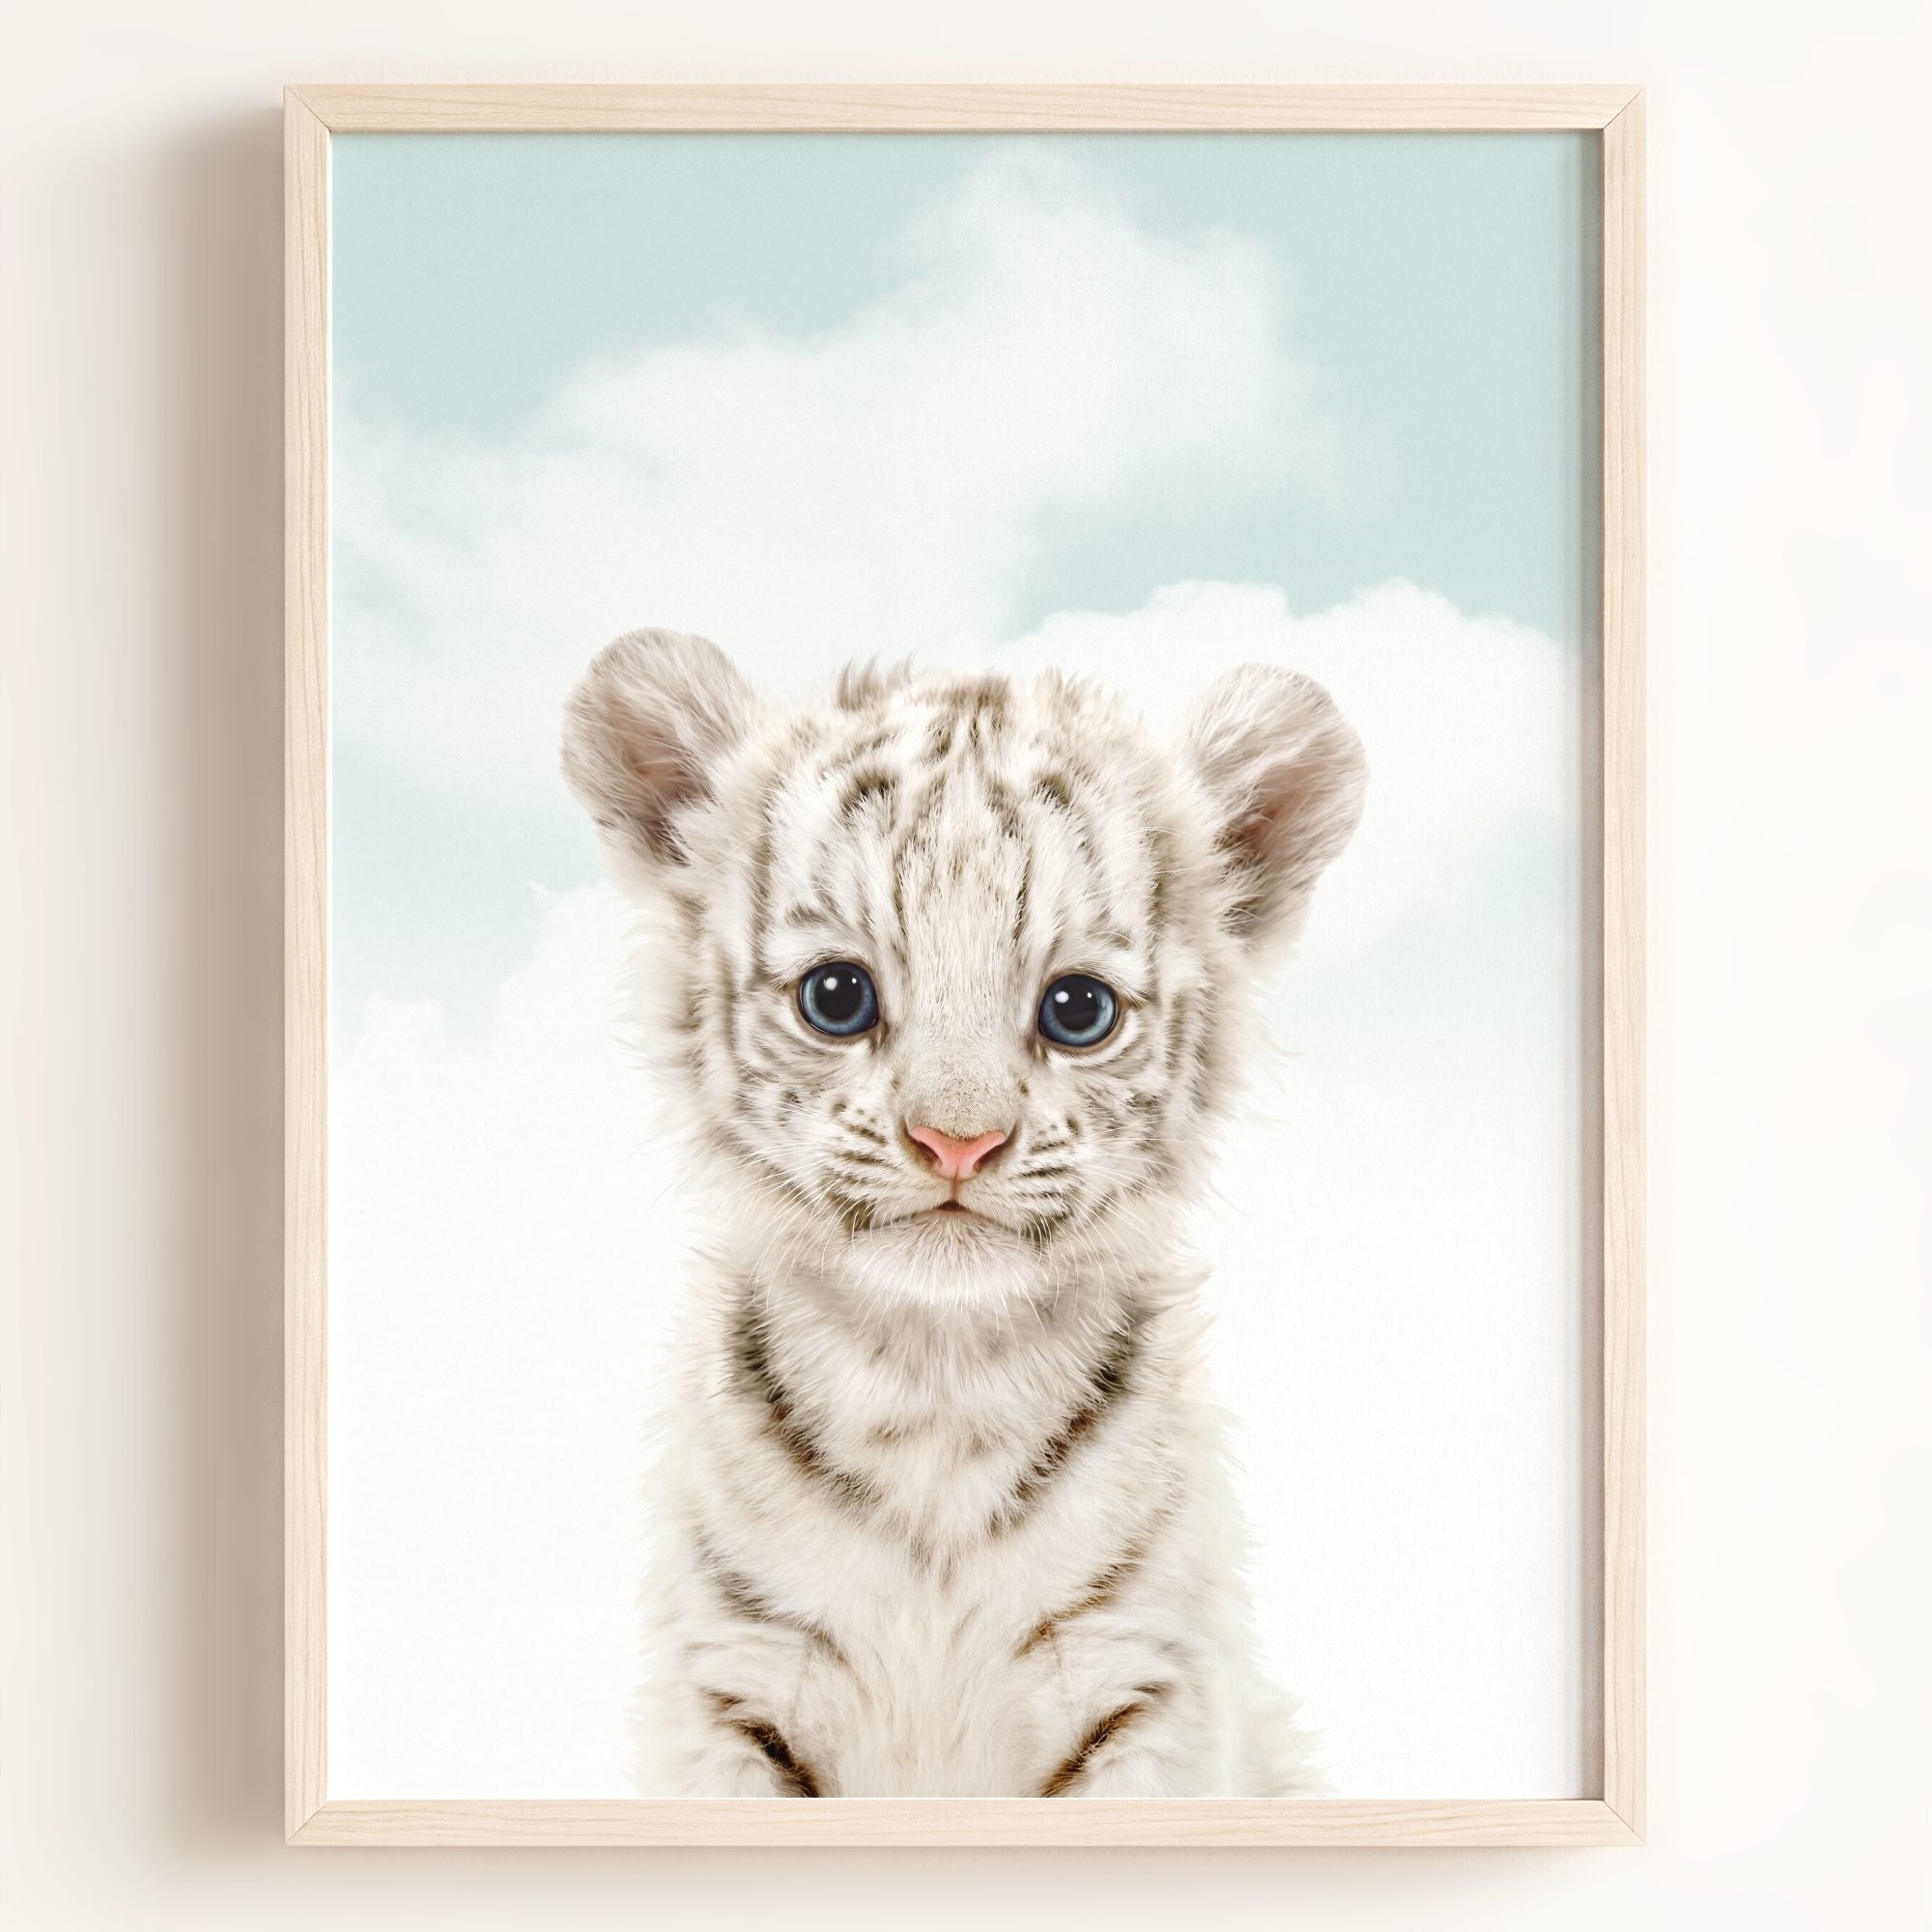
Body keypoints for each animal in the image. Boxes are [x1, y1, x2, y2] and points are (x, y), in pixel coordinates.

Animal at [561, 627, 1366, 1798]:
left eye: (1077, 1010)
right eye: (836, 996)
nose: (956, 1141)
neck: (935, 1384)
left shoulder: (1144, 1685)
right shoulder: (733, 1685)